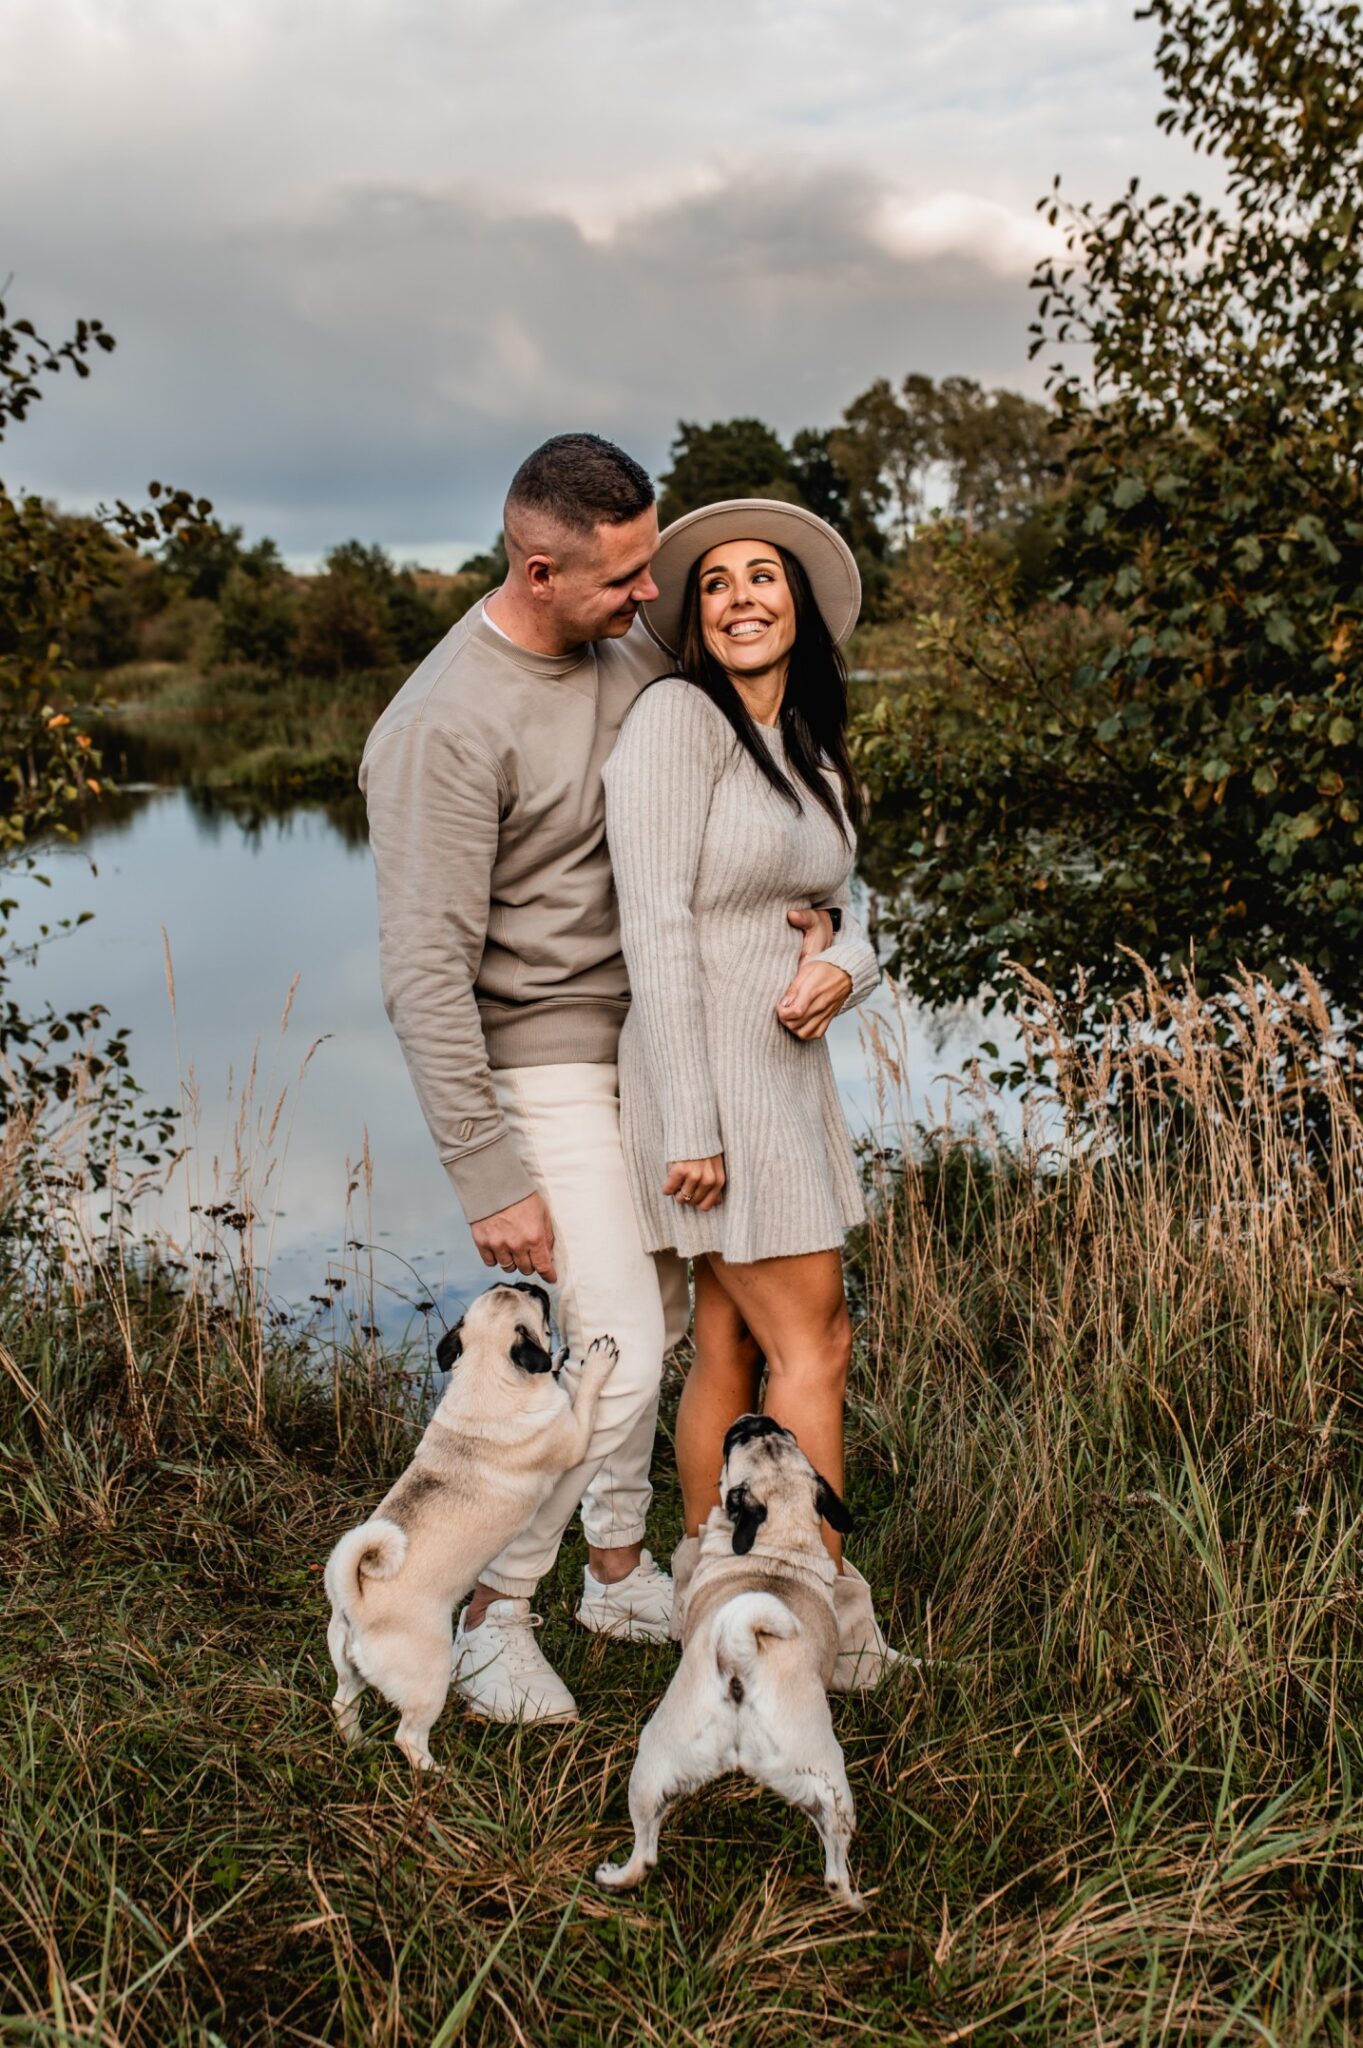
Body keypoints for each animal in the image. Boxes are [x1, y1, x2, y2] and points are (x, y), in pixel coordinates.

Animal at [324, 1280, 617, 1769]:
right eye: (537, 1304)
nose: (532, 1282)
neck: (484, 1374)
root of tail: (357, 1601)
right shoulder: (574, 1436)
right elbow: (587, 1399)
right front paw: (595, 1364)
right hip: (430, 1679)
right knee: (408, 1736)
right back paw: (437, 1772)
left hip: (350, 1673)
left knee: (343, 1703)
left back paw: (357, 1744)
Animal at [594, 1414, 862, 1908]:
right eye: (782, 1433)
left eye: (737, 1441)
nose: (756, 1417)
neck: (780, 1541)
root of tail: (742, 1658)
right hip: (824, 1783)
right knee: (834, 1865)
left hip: (655, 1760)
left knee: (645, 1852)